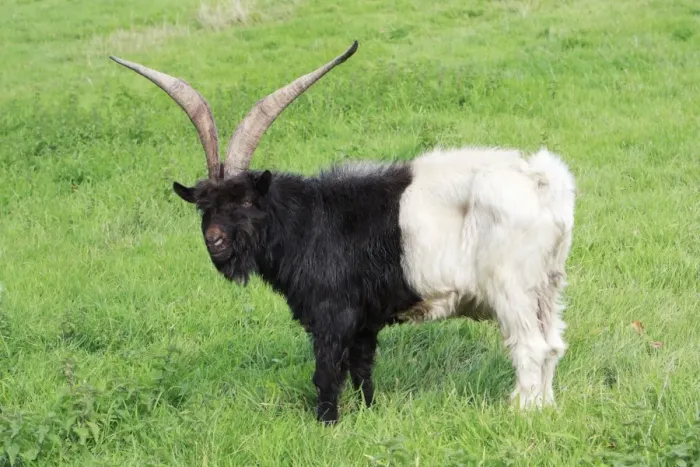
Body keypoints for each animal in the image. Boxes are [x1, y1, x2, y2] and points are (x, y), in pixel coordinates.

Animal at [111, 41, 576, 424]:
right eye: (204, 206)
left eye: (244, 202)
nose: (216, 240)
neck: (305, 221)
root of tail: (542, 182)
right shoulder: (365, 319)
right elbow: (362, 368)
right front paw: (368, 413)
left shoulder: (331, 312)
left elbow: (327, 371)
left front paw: (326, 423)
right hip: (548, 285)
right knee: (552, 344)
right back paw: (547, 409)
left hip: (512, 288)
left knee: (530, 347)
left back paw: (522, 413)